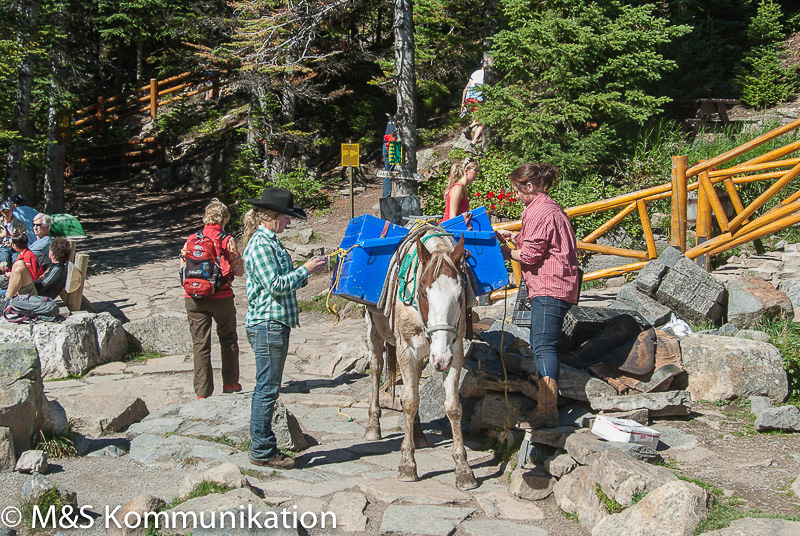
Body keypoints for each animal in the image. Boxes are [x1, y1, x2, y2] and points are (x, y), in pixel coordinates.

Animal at [364, 226, 482, 490]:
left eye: (460, 295)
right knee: (376, 369)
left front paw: (463, 469)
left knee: (415, 384)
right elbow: (409, 402)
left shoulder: (455, 352)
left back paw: (418, 434)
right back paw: (373, 426)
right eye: (422, 293)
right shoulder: (406, 351)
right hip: (374, 329)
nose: (441, 358)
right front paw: (407, 465)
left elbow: (453, 407)